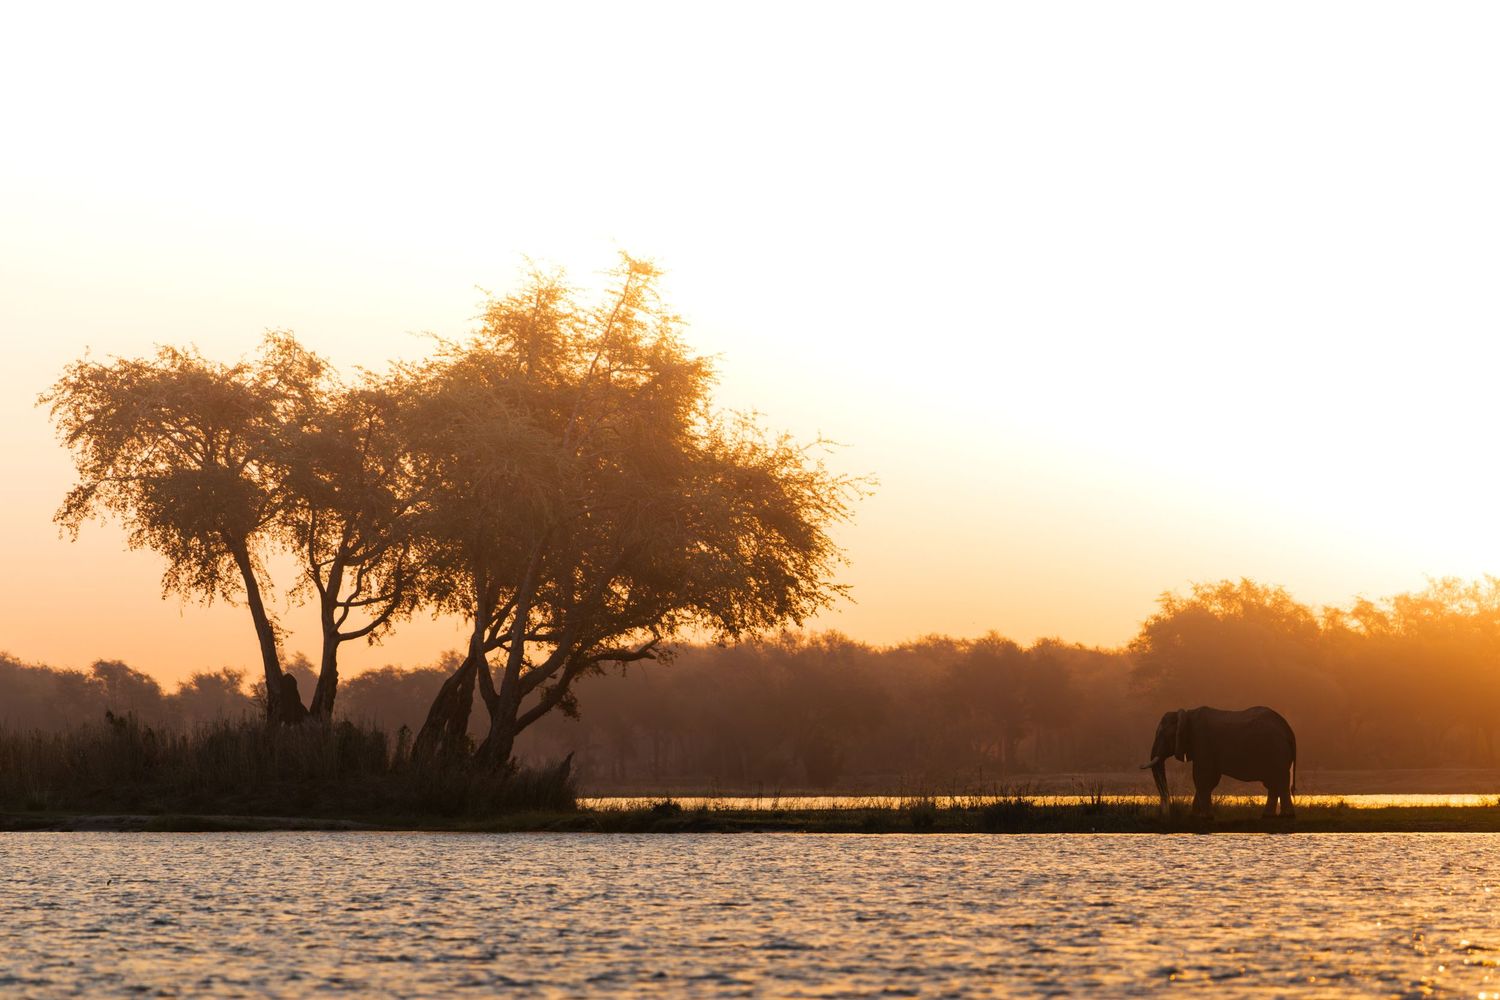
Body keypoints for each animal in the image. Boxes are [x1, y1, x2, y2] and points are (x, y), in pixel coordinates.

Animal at [1140, 706, 1296, 819]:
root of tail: (1288, 729)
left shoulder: (1202, 742)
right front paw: (1195, 816)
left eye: (1162, 735)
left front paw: (1205, 817)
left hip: (1276, 751)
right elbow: (1208, 780)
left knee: (1279, 782)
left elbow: (1203, 778)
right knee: (1273, 783)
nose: (1165, 813)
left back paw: (1286, 816)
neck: (1187, 714)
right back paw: (1268, 816)